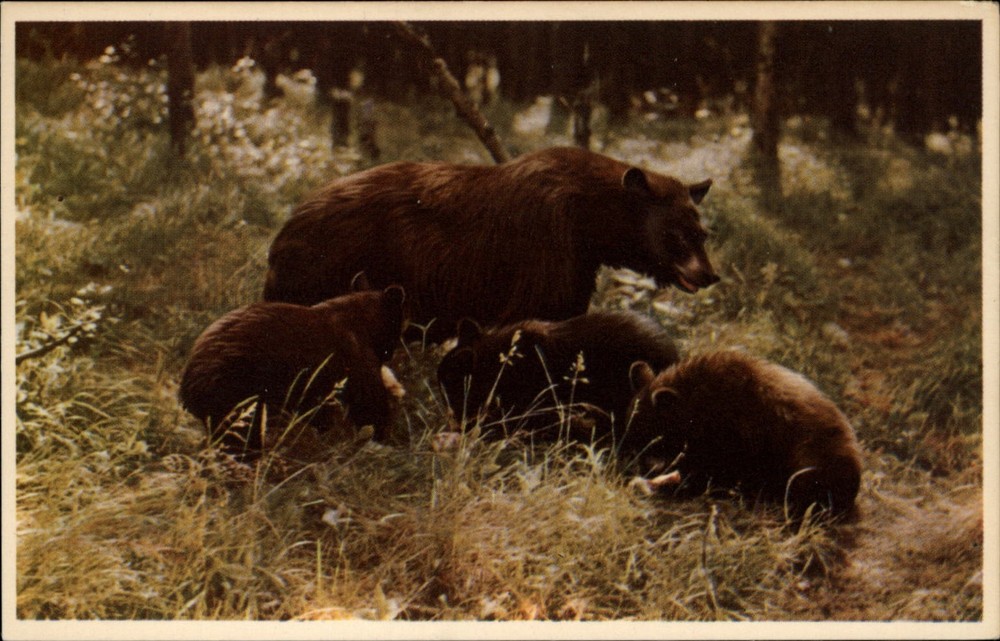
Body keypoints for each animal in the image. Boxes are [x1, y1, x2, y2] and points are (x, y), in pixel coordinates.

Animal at [179, 283, 405, 459]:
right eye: (397, 330)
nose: (390, 354)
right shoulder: (356, 357)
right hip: (235, 389)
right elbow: (369, 404)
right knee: (243, 432)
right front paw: (383, 438)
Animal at [263, 146, 719, 342]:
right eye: (674, 234)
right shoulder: (543, 262)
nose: (709, 274)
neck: (587, 223)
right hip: (318, 275)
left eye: (702, 233)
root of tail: (286, 226)